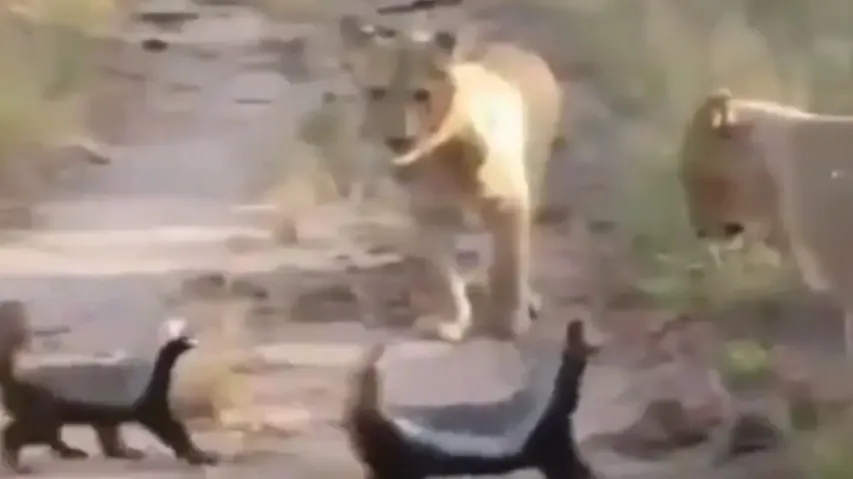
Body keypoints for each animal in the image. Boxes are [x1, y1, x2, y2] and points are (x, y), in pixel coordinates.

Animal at [336, 17, 564, 342]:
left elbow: (511, 266)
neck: (440, 154)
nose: (397, 140)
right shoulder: (430, 216)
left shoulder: (511, 205)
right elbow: (446, 277)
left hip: (535, 174)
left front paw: (511, 321)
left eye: (421, 95)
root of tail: (517, 47)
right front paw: (451, 322)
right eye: (377, 92)